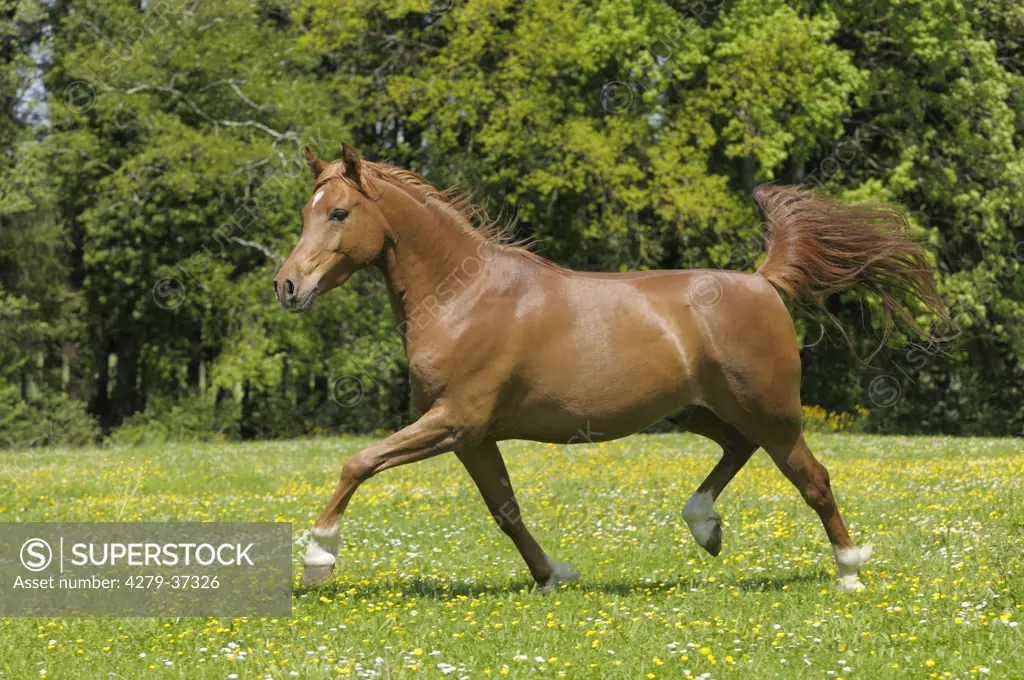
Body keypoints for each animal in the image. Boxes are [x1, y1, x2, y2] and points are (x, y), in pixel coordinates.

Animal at [274, 142, 942, 589]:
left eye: (338, 213)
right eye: (307, 213)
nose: (286, 287)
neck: (462, 293)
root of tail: (763, 282)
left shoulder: (455, 421)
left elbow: (359, 462)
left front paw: (318, 558)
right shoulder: (473, 436)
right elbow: (505, 510)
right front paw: (553, 574)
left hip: (773, 412)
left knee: (813, 479)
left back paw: (849, 571)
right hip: (696, 411)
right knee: (738, 448)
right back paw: (705, 527)